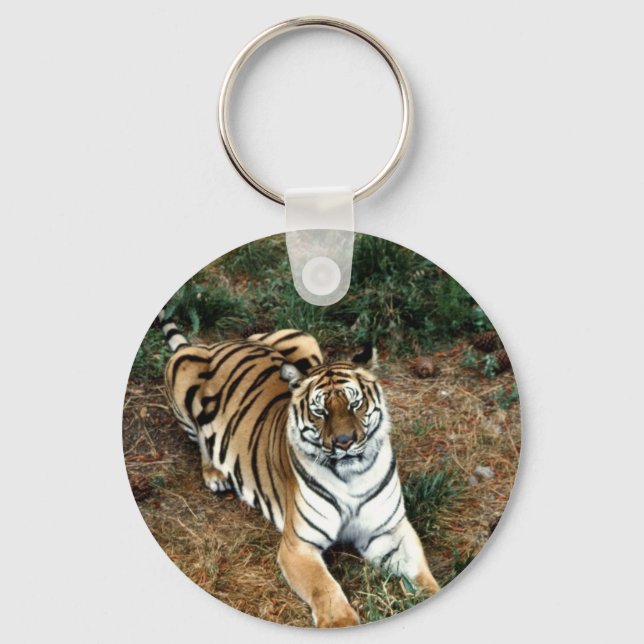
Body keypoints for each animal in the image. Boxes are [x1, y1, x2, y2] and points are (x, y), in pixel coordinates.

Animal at [159, 311, 440, 627]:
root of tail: (217, 344)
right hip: (181, 372)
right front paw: (341, 622)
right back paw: (215, 474)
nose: (344, 442)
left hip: (305, 339)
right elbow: (325, 587)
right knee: (201, 440)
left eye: (355, 403)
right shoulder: (298, 545)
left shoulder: (390, 530)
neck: (351, 477)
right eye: (320, 411)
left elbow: (423, 576)